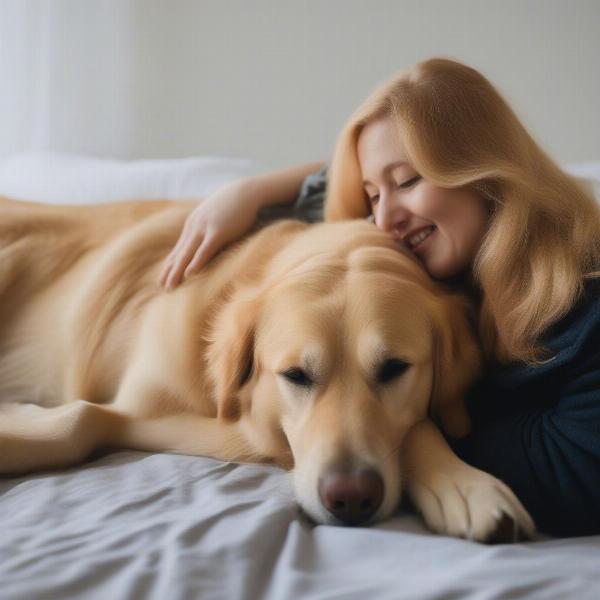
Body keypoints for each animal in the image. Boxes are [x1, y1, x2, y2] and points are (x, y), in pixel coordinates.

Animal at [0, 196, 536, 540]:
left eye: (394, 369)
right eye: (295, 375)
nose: (351, 498)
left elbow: (421, 425)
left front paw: (465, 485)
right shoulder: (142, 407)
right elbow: (82, 417)